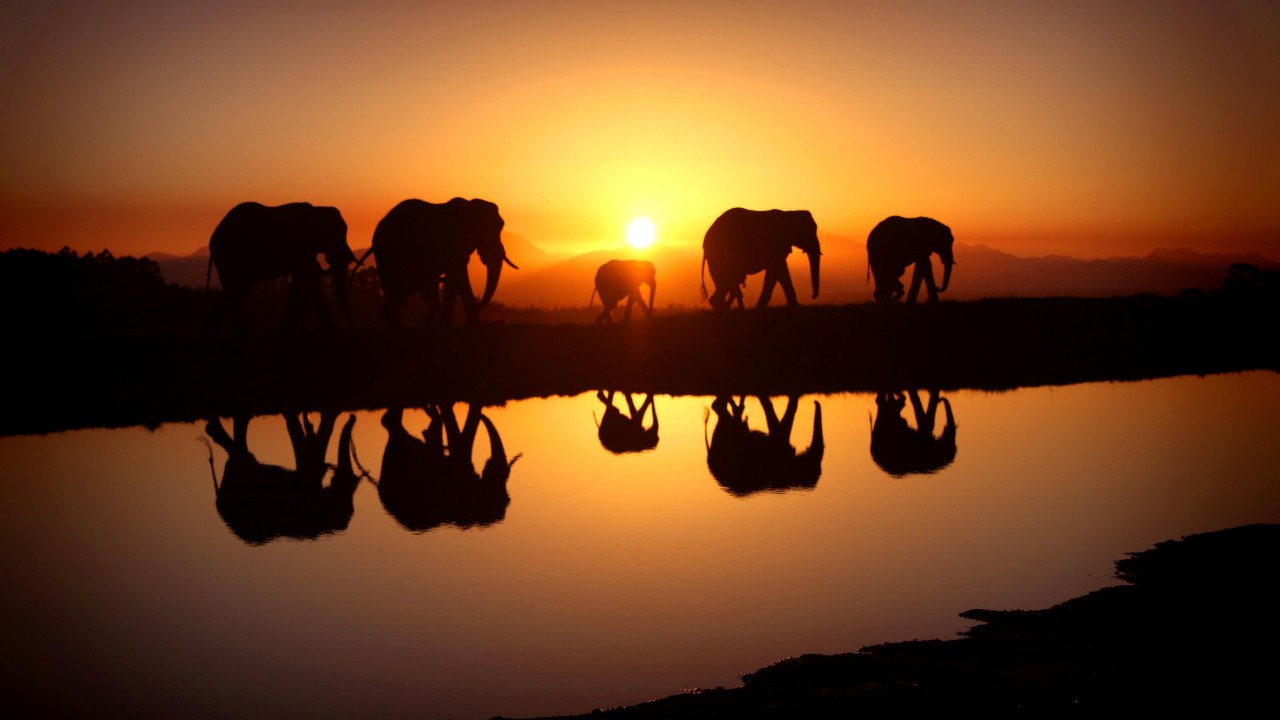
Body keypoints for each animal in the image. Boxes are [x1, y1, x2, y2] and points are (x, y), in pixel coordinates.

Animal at [205, 202, 355, 333]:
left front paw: (288, 330)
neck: (317, 209)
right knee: (236, 292)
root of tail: (213, 239)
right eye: (338, 236)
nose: (351, 322)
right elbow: (309, 276)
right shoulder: (300, 245)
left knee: (235, 292)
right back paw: (246, 332)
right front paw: (334, 329)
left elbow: (301, 279)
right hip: (231, 256)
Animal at [358, 198, 518, 327]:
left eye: (501, 226)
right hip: (390, 255)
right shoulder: (453, 243)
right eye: (485, 229)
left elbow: (456, 279)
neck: (469, 205)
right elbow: (458, 274)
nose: (480, 306)